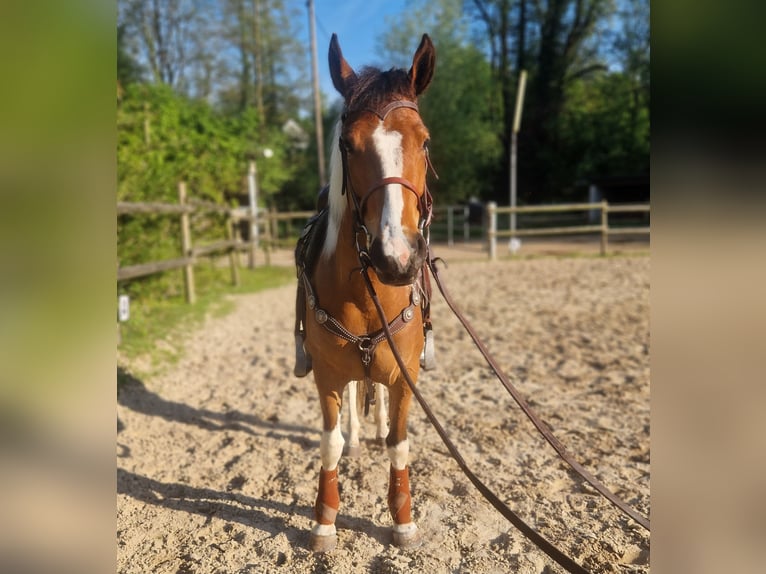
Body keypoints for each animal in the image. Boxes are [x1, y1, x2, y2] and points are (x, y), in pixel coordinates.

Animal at [293, 32, 436, 552]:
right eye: (347, 145)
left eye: (424, 141)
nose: (396, 257)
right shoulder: (327, 377)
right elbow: (330, 441)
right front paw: (324, 519)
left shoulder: (405, 377)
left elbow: (399, 441)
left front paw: (403, 520)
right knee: (357, 399)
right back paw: (359, 437)